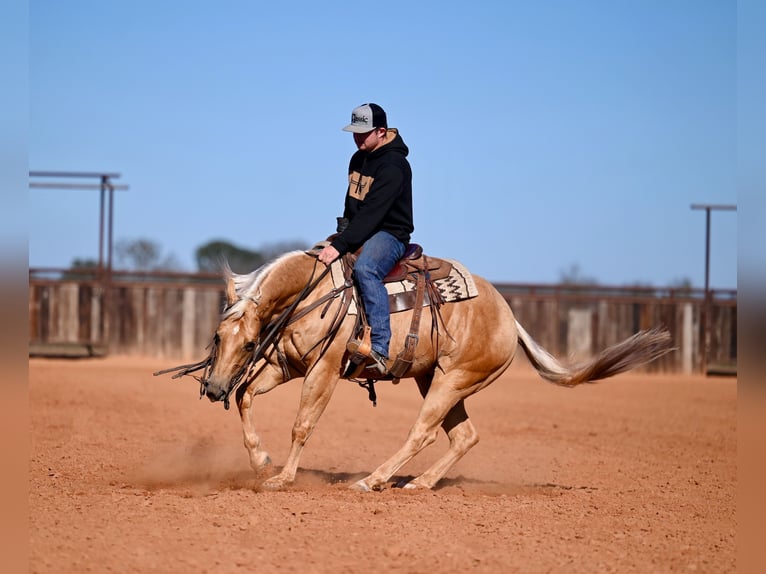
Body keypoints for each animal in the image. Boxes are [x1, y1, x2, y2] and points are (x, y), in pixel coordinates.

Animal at [161, 249, 673, 492]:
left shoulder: (322, 369)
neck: (314, 292)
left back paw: (374, 479)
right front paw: (260, 461)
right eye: (216, 337)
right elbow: (246, 397)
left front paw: (283, 478)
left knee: (422, 433)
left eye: (250, 342)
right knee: (464, 436)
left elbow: (303, 423)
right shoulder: (286, 366)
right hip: (439, 380)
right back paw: (421, 483)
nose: (212, 387)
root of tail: (509, 318)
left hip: (451, 381)